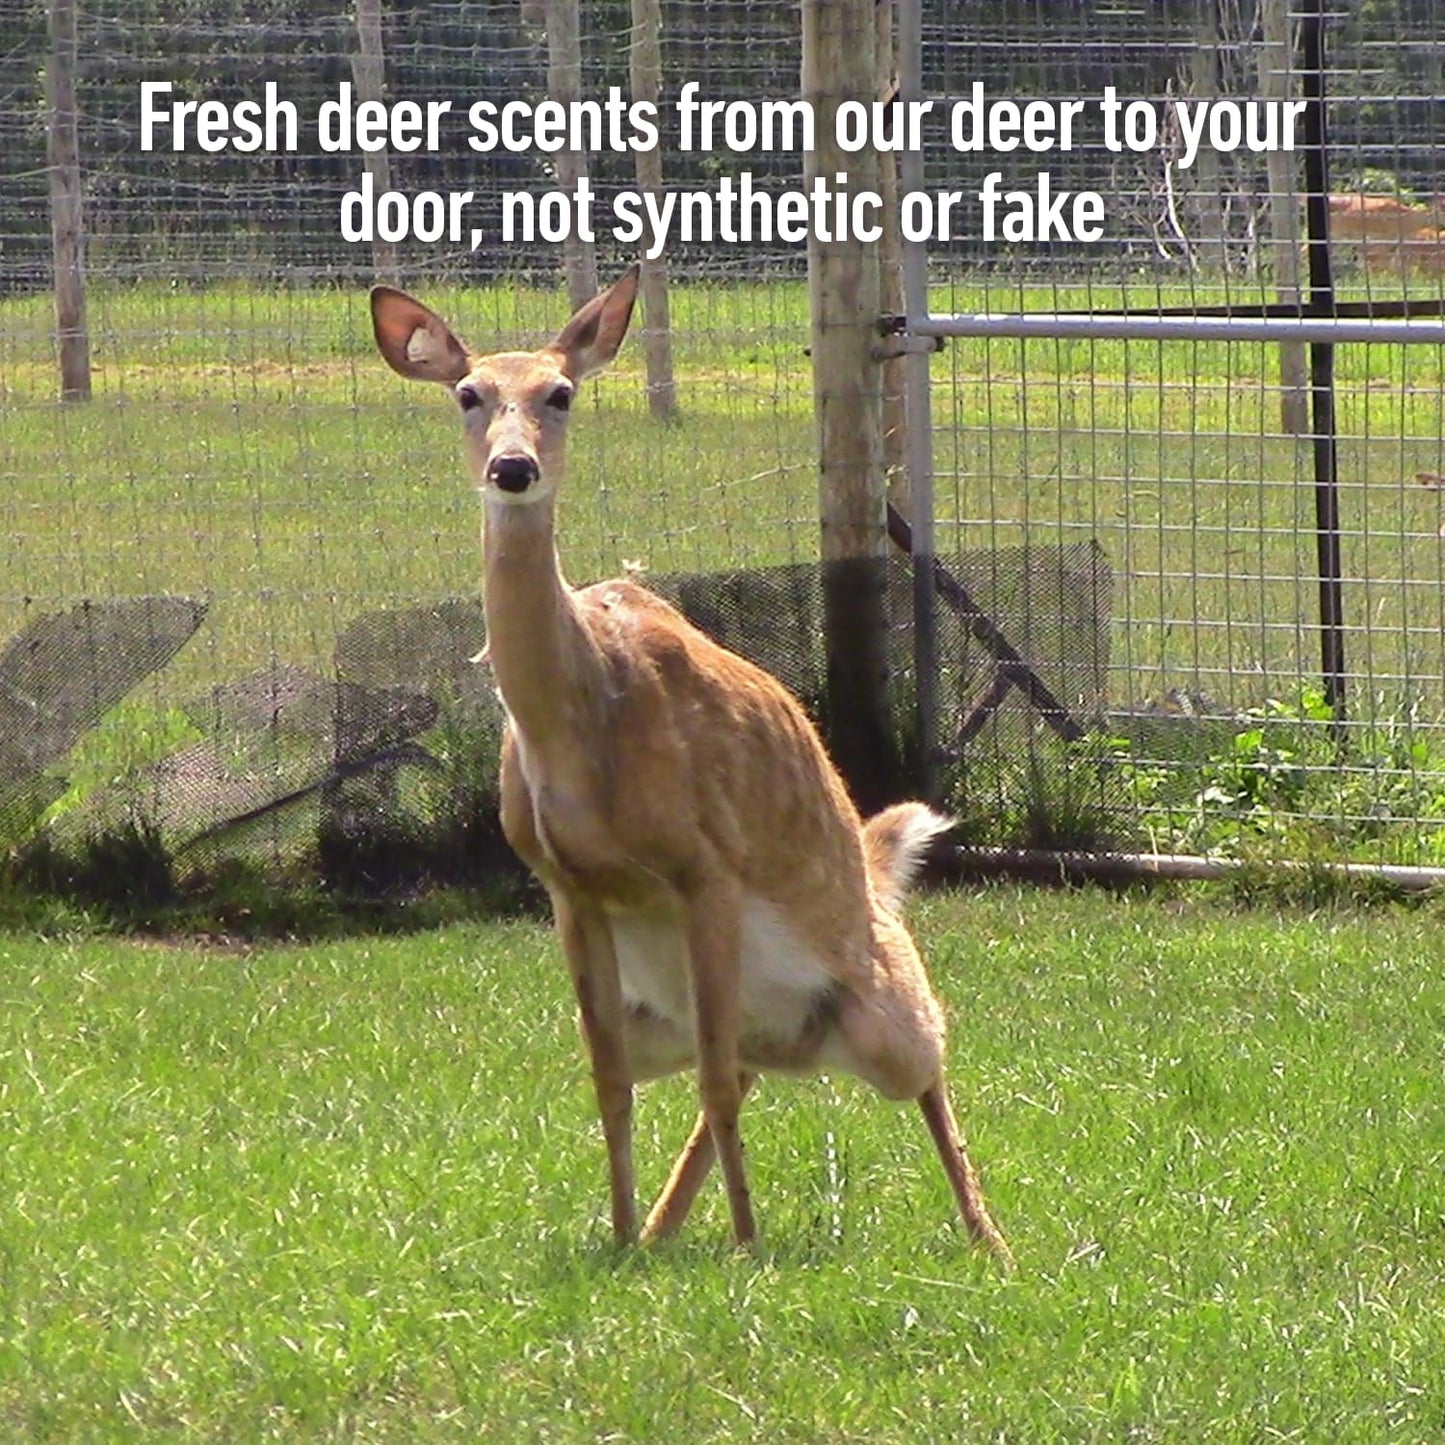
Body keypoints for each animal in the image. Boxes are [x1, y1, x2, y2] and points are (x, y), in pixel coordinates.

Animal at [369, 267, 1012, 1265]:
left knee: (921, 1059)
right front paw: (620, 1237)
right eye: (468, 394)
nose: (512, 469)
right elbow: (608, 1081)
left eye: (561, 392)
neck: (580, 725)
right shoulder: (566, 887)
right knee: (735, 1066)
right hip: (682, 1015)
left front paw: (746, 1249)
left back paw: (990, 1239)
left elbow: (709, 1076)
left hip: (877, 1005)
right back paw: (662, 1228)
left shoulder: (706, 862)